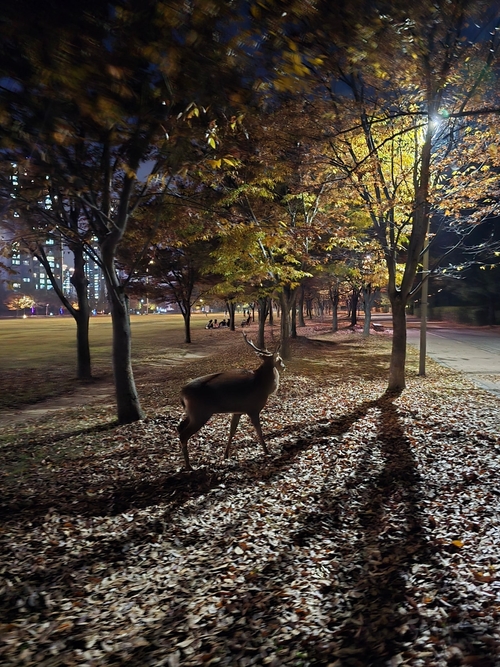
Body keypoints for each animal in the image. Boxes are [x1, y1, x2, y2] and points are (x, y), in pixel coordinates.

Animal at [178, 332, 284, 470]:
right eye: (279, 359)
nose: (284, 366)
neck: (262, 385)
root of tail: (182, 393)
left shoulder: (237, 411)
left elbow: (232, 431)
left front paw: (226, 455)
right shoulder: (253, 408)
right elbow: (259, 431)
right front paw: (267, 451)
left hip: (192, 413)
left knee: (179, 427)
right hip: (200, 413)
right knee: (183, 434)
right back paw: (189, 466)